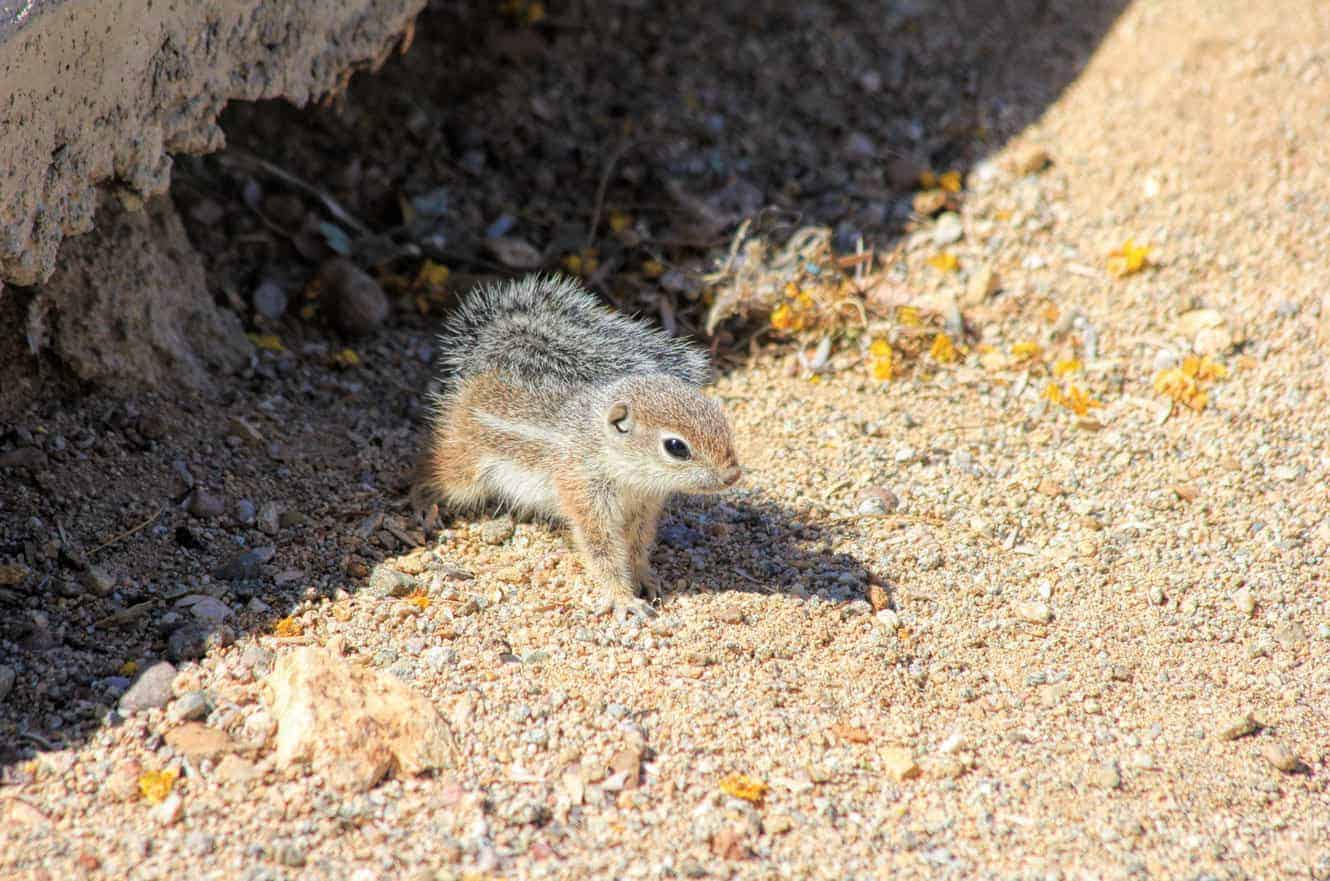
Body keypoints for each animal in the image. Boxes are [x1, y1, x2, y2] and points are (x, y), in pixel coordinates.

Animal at [420, 274, 741, 617]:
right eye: (676, 446)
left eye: (721, 420)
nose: (732, 475)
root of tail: (482, 376)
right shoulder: (584, 495)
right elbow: (601, 551)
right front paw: (623, 599)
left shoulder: (643, 507)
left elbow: (637, 545)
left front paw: (645, 577)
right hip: (464, 466)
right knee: (438, 471)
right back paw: (419, 497)